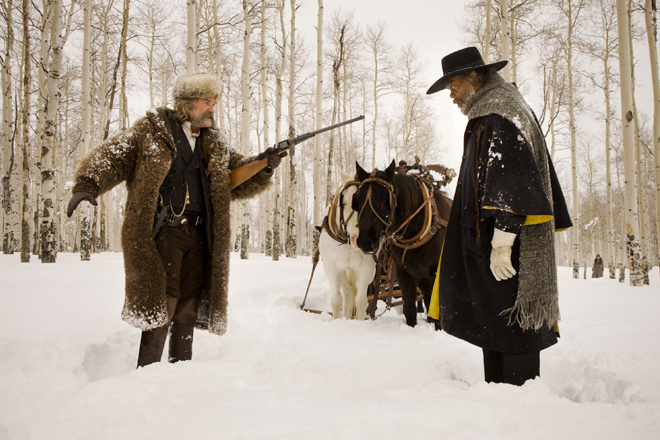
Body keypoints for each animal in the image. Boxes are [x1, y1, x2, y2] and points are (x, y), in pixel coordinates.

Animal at [320, 169, 376, 320]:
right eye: (344, 203)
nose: (358, 239)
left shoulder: (367, 268)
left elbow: (361, 301)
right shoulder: (331, 267)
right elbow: (336, 300)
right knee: (347, 291)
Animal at [354, 161, 452, 326]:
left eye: (383, 200)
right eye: (357, 200)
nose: (365, 242)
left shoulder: (435, 277)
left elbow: (435, 316)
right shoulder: (403, 273)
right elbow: (410, 311)